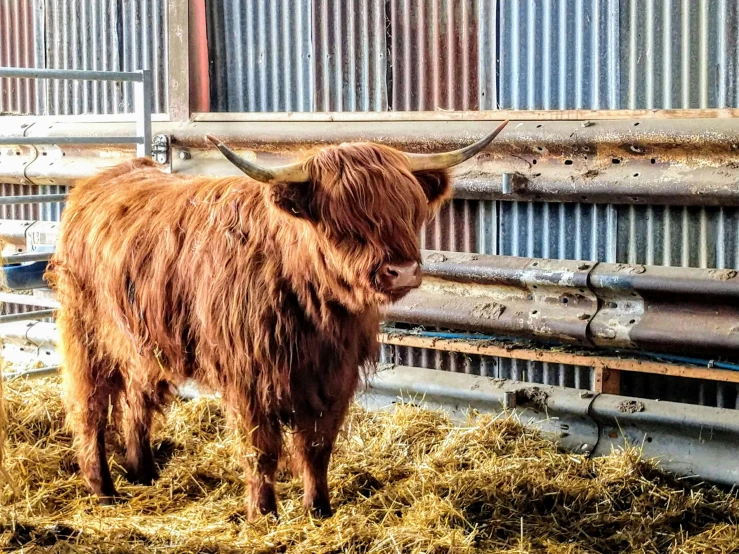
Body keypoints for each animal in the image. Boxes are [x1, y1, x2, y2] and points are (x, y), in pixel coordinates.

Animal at [43, 121, 508, 516]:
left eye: (409, 209)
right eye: (344, 219)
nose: (403, 270)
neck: (312, 307)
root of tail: (101, 180)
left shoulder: (333, 377)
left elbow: (317, 447)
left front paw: (319, 510)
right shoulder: (249, 378)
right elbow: (261, 450)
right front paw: (263, 514)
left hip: (143, 343)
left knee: (138, 400)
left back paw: (143, 472)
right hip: (85, 333)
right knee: (88, 407)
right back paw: (103, 489)